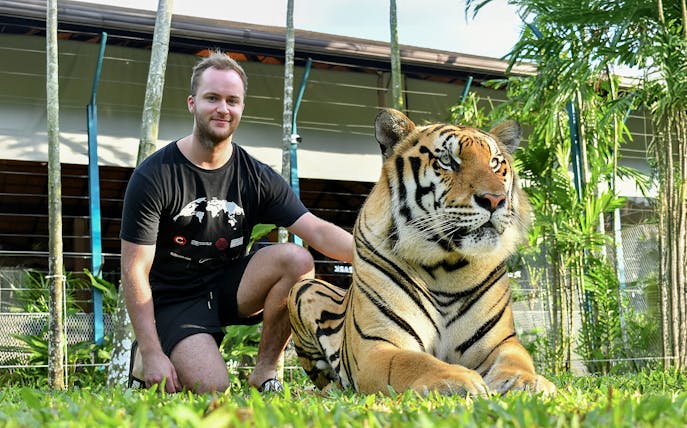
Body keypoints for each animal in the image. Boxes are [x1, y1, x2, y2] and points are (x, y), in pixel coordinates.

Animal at [288, 108, 555, 396]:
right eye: (447, 160)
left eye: (495, 163)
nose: (495, 200)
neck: (448, 267)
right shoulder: (377, 345)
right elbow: (413, 362)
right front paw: (457, 379)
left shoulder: (500, 341)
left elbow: (517, 359)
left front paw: (524, 382)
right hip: (302, 289)